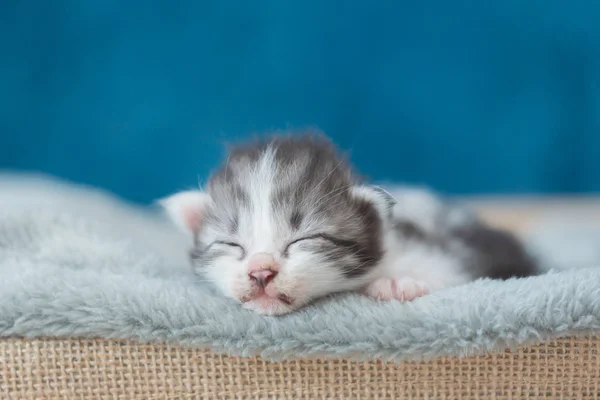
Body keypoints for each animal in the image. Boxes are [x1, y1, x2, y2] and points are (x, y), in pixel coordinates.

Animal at [158, 131, 536, 316]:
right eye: (231, 244)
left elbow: (447, 264)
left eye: (303, 239)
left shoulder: (449, 248)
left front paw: (398, 282)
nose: (260, 272)